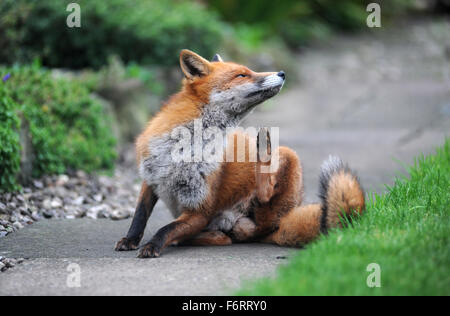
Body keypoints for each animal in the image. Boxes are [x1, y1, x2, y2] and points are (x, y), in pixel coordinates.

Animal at [116, 50, 366, 256]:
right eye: (242, 75)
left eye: (249, 71)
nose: (282, 73)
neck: (185, 146)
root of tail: (279, 223)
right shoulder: (151, 179)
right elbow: (140, 215)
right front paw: (130, 239)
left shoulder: (200, 208)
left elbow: (167, 228)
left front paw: (153, 245)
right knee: (224, 238)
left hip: (287, 157)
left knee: (258, 205)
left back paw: (263, 150)